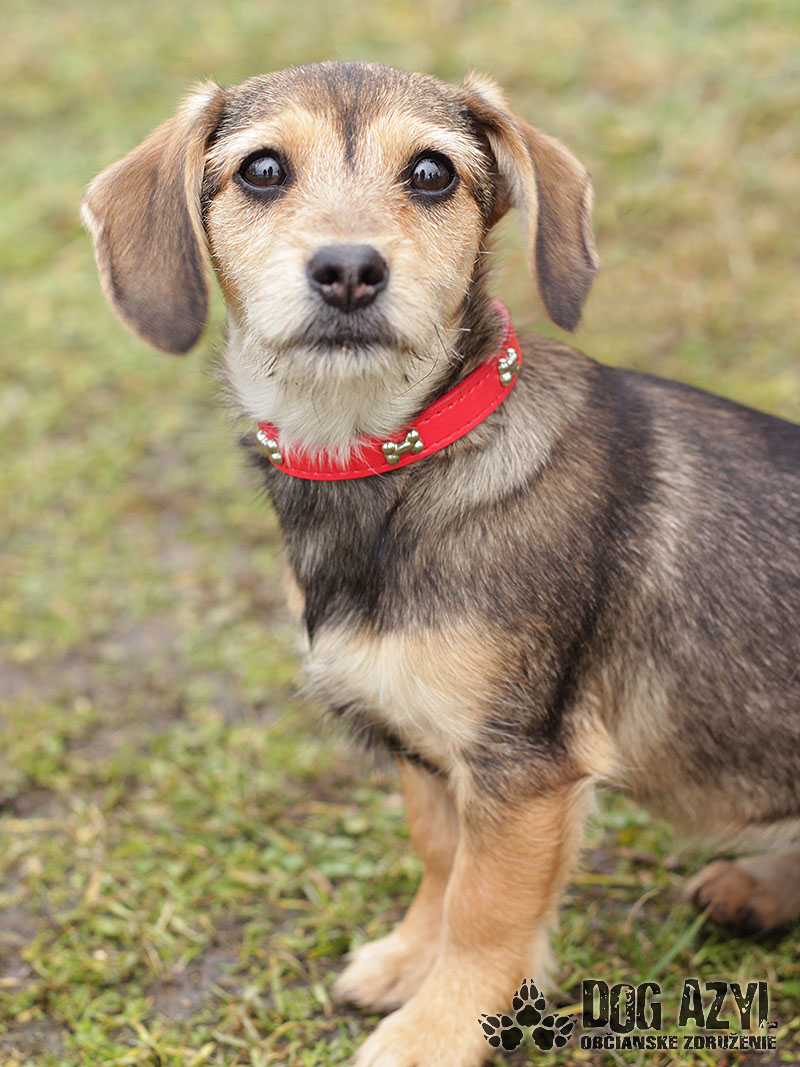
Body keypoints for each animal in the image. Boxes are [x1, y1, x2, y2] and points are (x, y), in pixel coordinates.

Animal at [83, 61, 800, 1066]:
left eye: (431, 173)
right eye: (262, 169)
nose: (349, 269)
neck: (392, 470)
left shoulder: (525, 764)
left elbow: (485, 910)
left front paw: (435, 1028)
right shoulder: (421, 741)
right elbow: (440, 858)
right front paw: (409, 960)